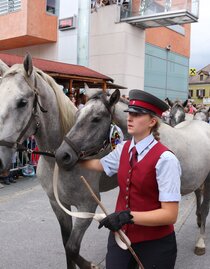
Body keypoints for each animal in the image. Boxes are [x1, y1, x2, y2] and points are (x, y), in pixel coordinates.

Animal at [0, 54, 119, 268]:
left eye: (22, 102)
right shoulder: (58, 205)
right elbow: (66, 245)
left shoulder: (87, 207)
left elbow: (72, 248)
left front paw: (90, 264)